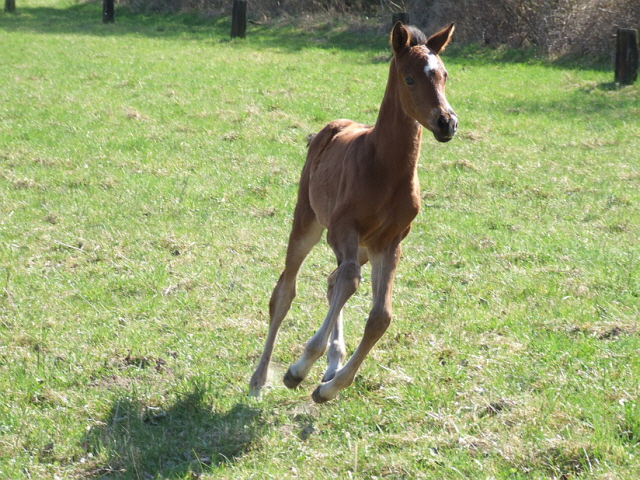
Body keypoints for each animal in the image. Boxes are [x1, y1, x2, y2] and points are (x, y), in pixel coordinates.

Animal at [249, 21, 456, 404]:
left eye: (444, 75)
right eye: (409, 78)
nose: (446, 122)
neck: (387, 168)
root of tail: (332, 126)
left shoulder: (389, 242)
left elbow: (380, 316)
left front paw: (329, 387)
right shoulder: (342, 229)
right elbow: (348, 281)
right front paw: (299, 369)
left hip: (362, 248)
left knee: (333, 282)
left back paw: (332, 363)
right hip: (308, 222)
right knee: (286, 291)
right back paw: (259, 379)